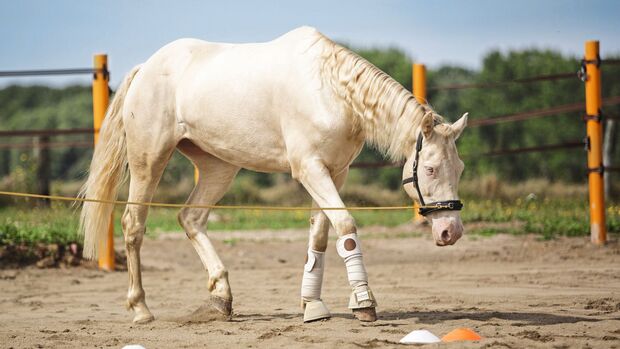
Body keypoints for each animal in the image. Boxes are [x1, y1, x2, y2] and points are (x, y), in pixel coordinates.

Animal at [80, 26, 468, 324]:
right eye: (430, 168)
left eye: (460, 168)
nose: (450, 232)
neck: (332, 91)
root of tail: (145, 68)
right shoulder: (310, 168)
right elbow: (345, 227)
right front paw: (363, 303)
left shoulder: (334, 172)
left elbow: (319, 236)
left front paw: (313, 306)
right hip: (149, 160)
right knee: (133, 225)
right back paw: (141, 309)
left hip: (219, 167)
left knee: (190, 218)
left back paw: (221, 298)